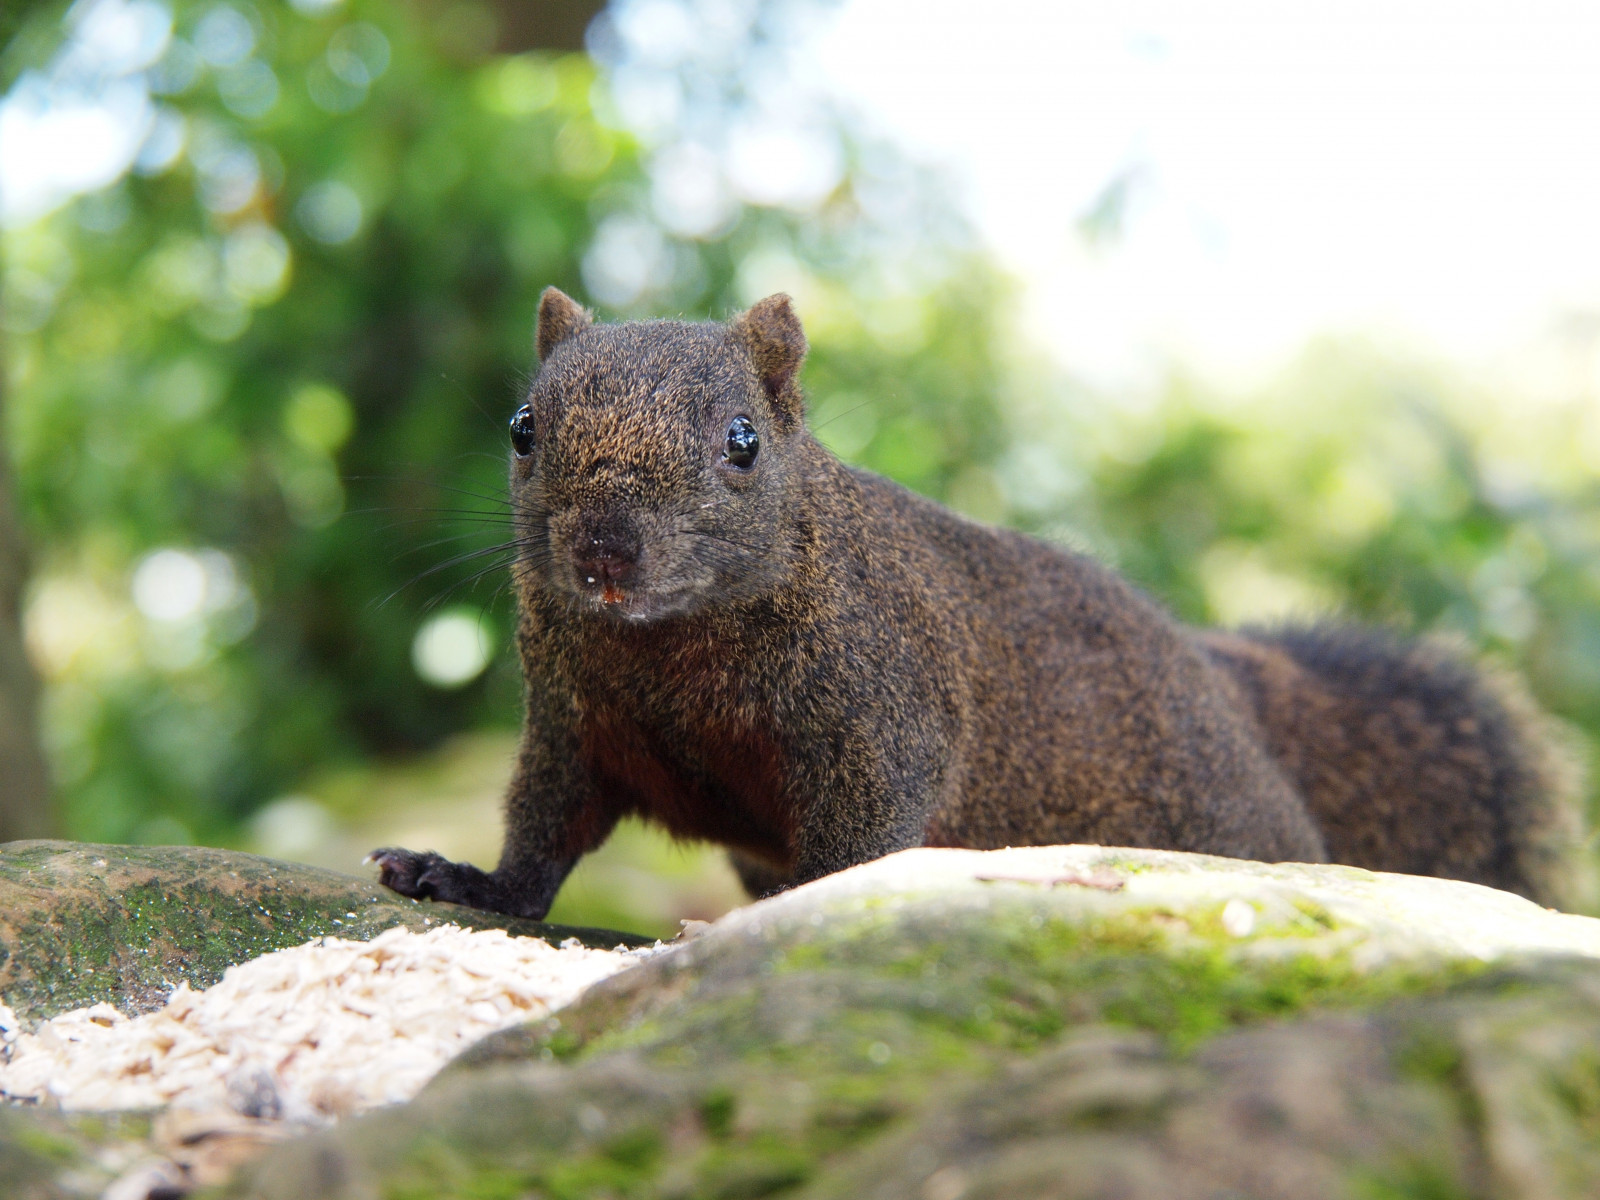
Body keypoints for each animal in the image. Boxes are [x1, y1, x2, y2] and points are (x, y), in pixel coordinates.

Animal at [371, 288, 1588, 918]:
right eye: (523, 428)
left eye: (742, 442)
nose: (604, 553)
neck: (667, 645)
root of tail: (1228, 688)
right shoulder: (577, 724)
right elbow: (544, 830)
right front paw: (461, 877)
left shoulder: (883, 705)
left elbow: (868, 829)